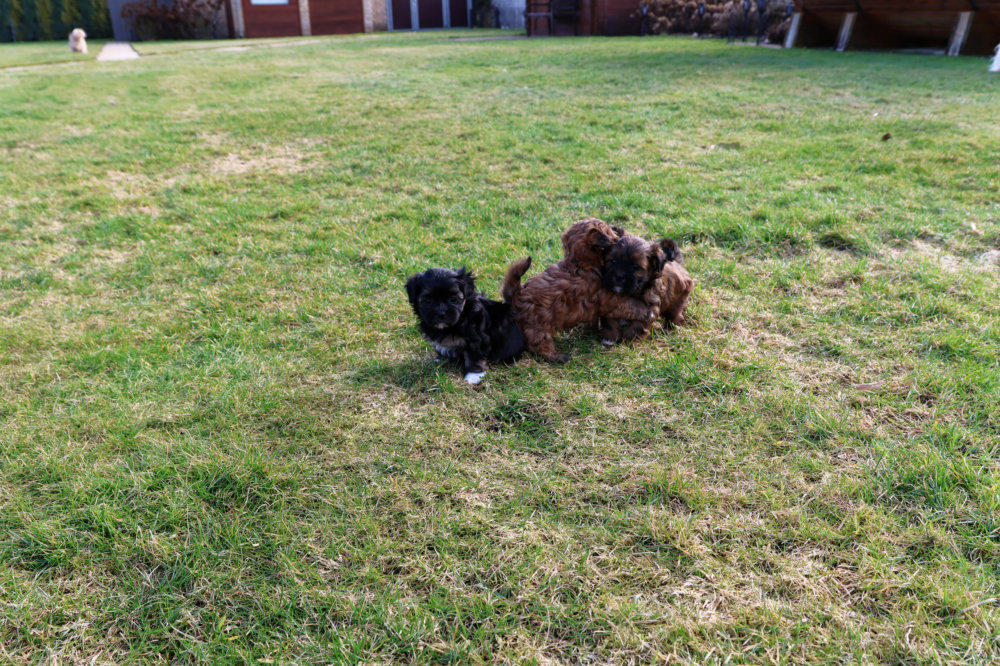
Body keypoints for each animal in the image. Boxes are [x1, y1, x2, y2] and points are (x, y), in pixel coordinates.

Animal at [502, 218, 657, 362]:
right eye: (610, 233)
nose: (619, 232)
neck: (581, 263)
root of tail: (517, 295)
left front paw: (591, 329)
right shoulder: (608, 298)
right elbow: (629, 304)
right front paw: (646, 311)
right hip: (537, 326)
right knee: (540, 345)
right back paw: (558, 357)